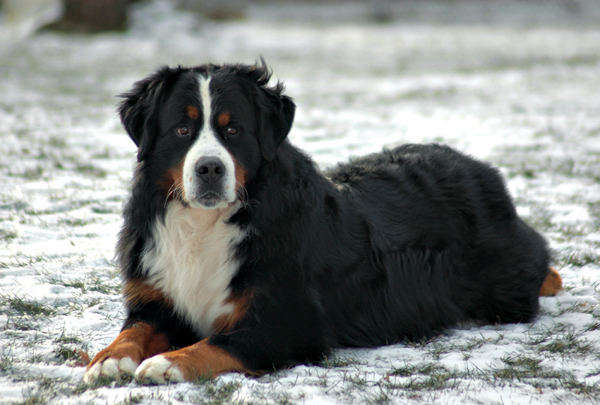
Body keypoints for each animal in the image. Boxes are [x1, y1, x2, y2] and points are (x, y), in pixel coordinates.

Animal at [83, 61, 564, 384]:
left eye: (233, 129)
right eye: (181, 130)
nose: (209, 169)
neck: (205, 225)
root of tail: (481, 168)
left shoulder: (290, 320)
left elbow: (219, 343)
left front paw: (167, 363)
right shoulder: (157, 296)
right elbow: (135, 329)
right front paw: (108, 359)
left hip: (505, 285)